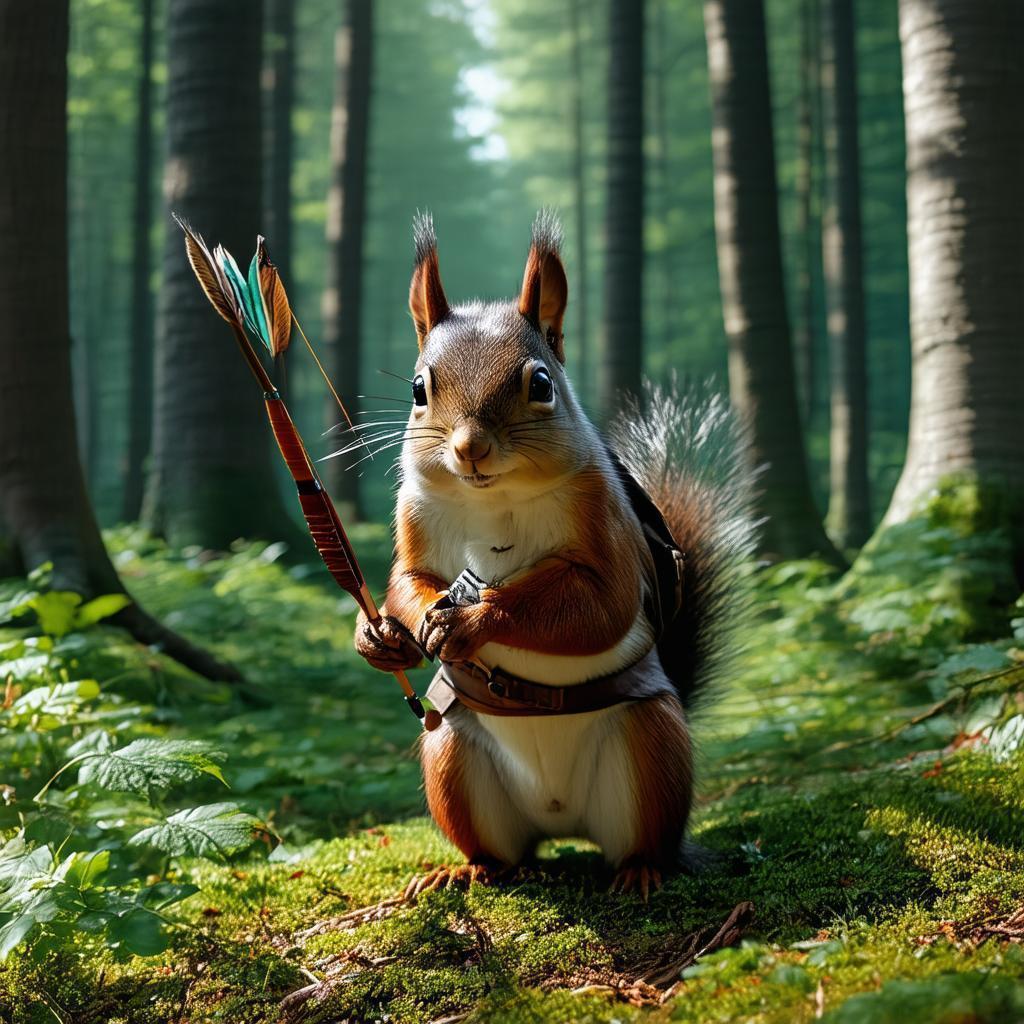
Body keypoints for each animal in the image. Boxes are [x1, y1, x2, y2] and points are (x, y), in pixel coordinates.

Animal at [354, 211, 755, 899]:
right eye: (417, 388)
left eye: (541, 384)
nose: (470, 448)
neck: (496, 497)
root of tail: (562, 819)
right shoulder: (415, 515)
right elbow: (409, 580)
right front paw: (386, 637)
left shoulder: (603, 523)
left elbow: (601, 607)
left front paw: (472, 620)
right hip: (451, 753)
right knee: (501, 850)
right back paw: (466, 869)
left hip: (650, 746)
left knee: (647, 836)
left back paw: (643, 870)